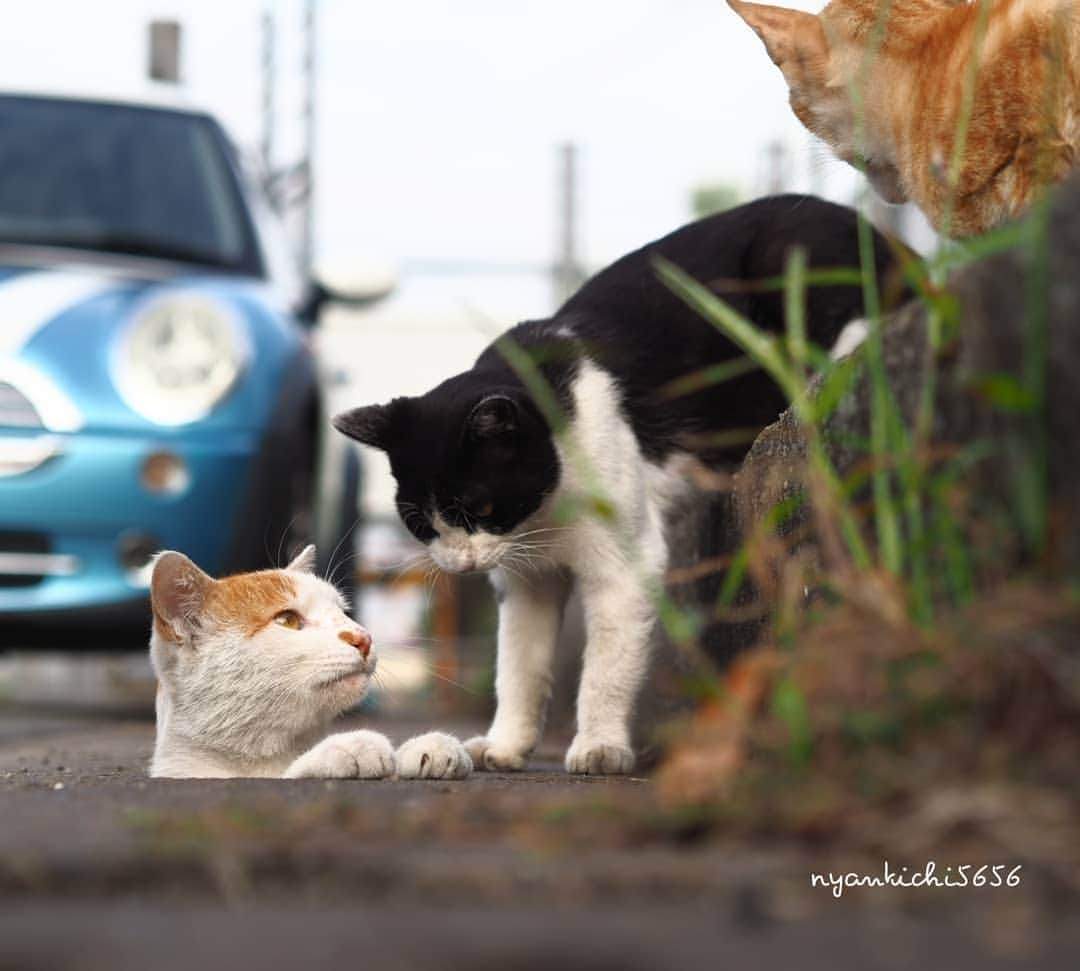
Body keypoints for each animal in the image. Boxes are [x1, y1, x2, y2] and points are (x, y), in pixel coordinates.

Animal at [147, 546, 473, 781]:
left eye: (343, 612)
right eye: (287, 620)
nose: (363, 637)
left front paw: (425, 749)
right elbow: (287, 775)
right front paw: (346, 747)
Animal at [332, 195, 907, 773]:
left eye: (482, 507)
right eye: (421, 524)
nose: (460, 563)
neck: (544, 520)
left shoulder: (623, 565)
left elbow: (605, 669)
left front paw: (600, 746)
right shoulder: (526, 581)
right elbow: (519, 666)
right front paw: (505, 745)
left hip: (791, 264)